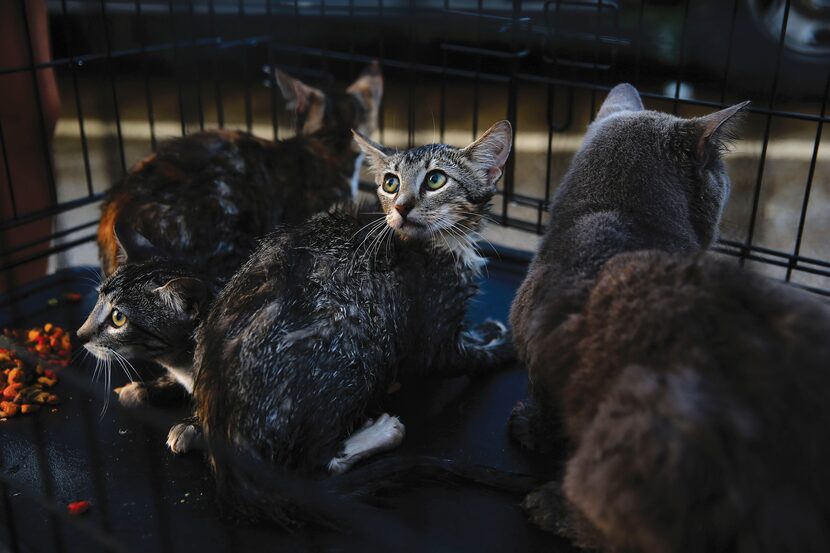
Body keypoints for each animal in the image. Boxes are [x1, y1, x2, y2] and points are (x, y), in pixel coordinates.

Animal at [194, 121, 516, 520]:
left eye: (436, 179)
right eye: (391, 183)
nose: (401, 206)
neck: (445, 243)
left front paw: (487, 331)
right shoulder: (432, 328)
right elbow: (459, 358)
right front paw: (504, 346)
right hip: (358, 339)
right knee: (316, 463)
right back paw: (381, 432)